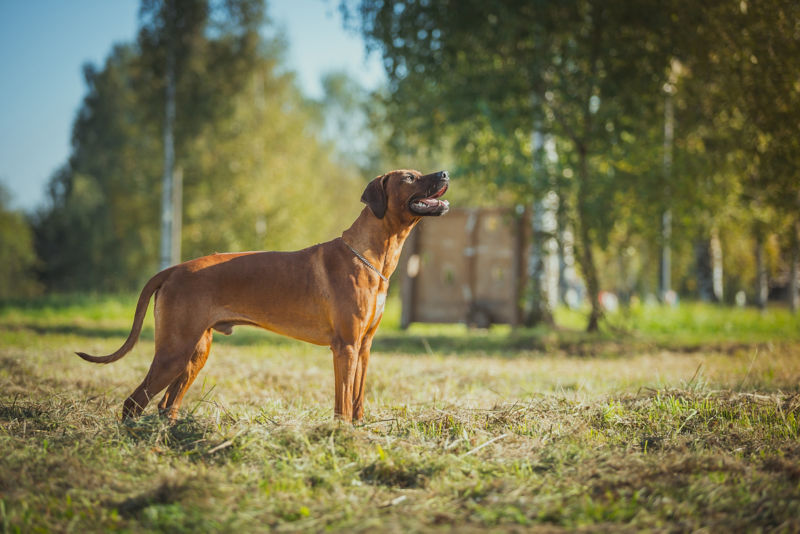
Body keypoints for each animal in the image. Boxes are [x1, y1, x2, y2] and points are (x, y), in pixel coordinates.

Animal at [76, 170, 450, 426]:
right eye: (409, 177)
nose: (445, 173)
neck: (372, 255)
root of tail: (173, 268)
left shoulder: (364, 346)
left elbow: (357, 399)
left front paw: (358, 431)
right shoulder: (345, 346)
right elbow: (342, 401)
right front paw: (341, 433)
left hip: (195, 352)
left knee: (167, 405)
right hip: (173, 352)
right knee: (133, 403)